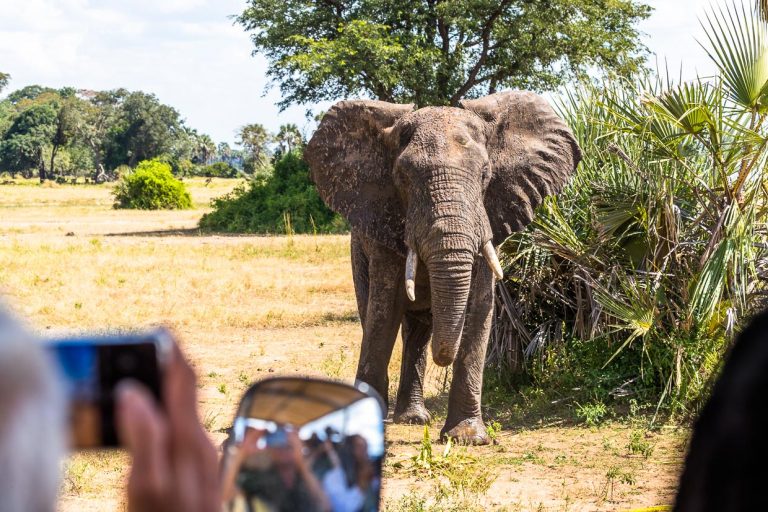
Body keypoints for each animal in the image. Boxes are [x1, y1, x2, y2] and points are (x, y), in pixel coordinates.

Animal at [305, 91, 581, 444]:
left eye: (485, 174)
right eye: (403, 176)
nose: (444, 357)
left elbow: (480, 307)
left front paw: (466, 438)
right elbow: (383, 312)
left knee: (418, 331)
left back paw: (413, 418)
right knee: (376, 316)